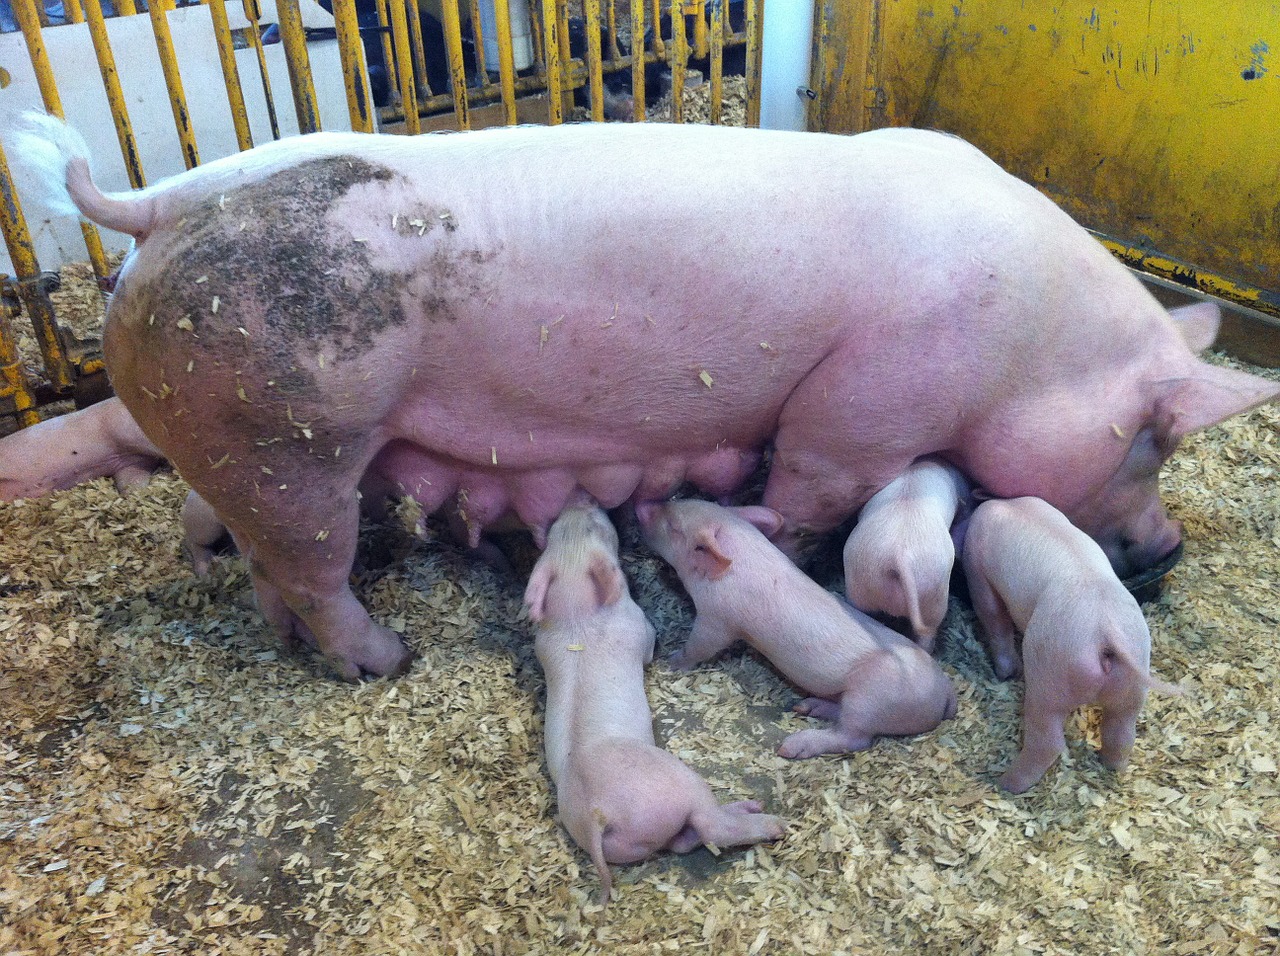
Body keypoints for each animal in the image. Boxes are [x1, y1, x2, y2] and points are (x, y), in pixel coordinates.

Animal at [524, 501, 783, 906]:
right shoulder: (640, 627)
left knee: (680, 842)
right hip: (677, 784)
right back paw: (769, 821)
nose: (581, 501)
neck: (576, 620)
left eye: (558, 529)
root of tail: (597, 813)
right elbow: (648, 647)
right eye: (597, 528)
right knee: (712, 826)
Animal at [634, 496, 957, 757]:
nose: (642, 505)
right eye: (681, 501)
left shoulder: (718, 619)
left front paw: (671, 662)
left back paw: (792, 746)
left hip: (871, 699)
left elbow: (700, 646)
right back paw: (805, 707)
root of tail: (945, 692)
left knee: (855, 737)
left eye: (674, 527)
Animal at [962, 496, 1177, 798]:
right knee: (1122, 732)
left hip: (1050, 674)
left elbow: (992, 615)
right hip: (1132, 683)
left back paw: (1004, 783)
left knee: (1048, 740)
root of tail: (1105, 634)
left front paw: (1006, 674)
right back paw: (1112, 767)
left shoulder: (977, 568)